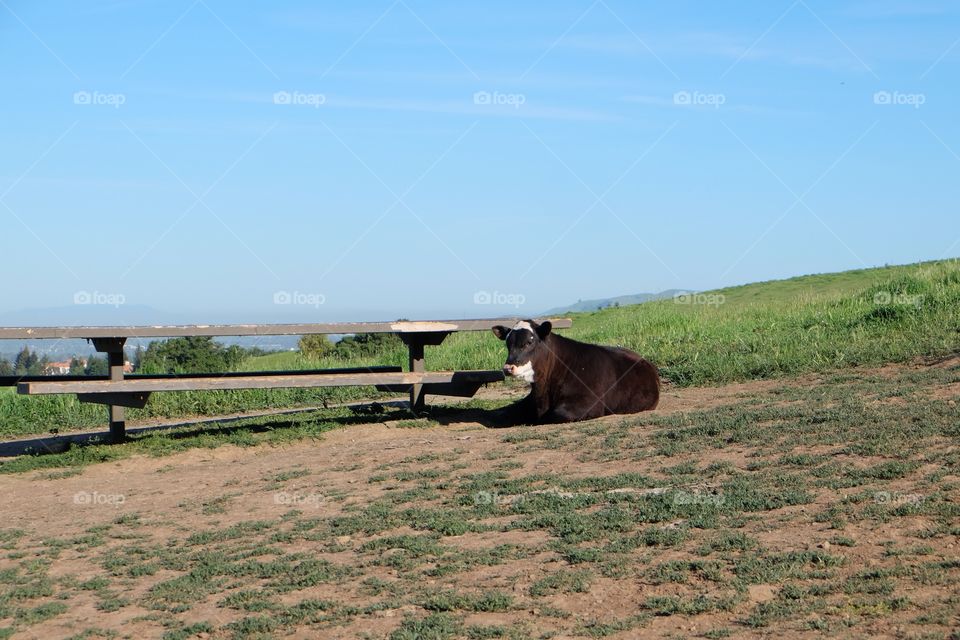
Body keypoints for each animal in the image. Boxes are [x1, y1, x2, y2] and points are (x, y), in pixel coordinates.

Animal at [491, 319, 659, 424]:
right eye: (507, 343)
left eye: (529, 342)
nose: (508, 368)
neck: (543, 392)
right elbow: (504, 413)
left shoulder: (589, 403)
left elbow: (555, 414)